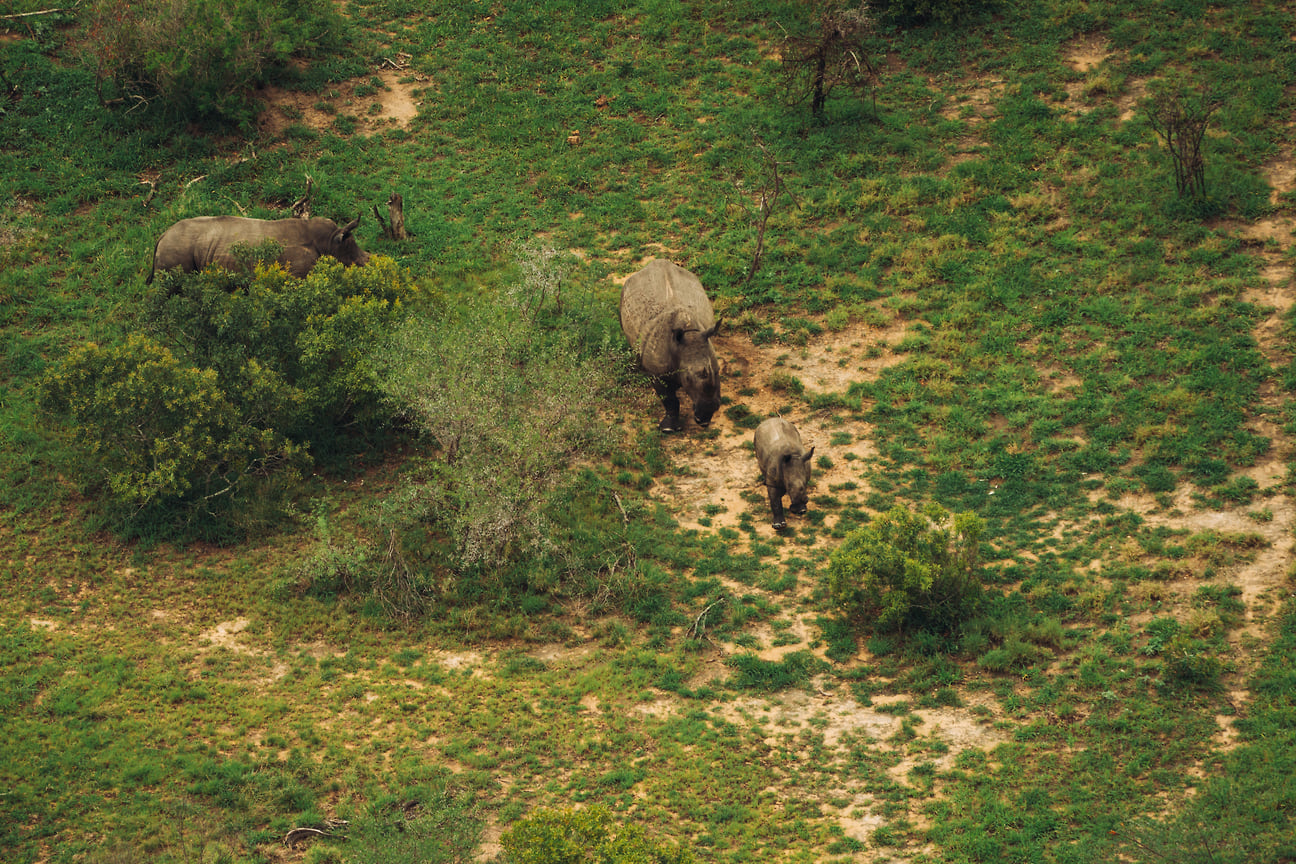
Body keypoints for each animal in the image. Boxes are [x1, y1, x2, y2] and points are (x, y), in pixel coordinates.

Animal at [616, 256, 720, 432]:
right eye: (687, 378)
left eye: (718, 371)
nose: (707, 413)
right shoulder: (657, 373)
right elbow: (669, 400)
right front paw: (668, 429)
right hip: (625, 292)